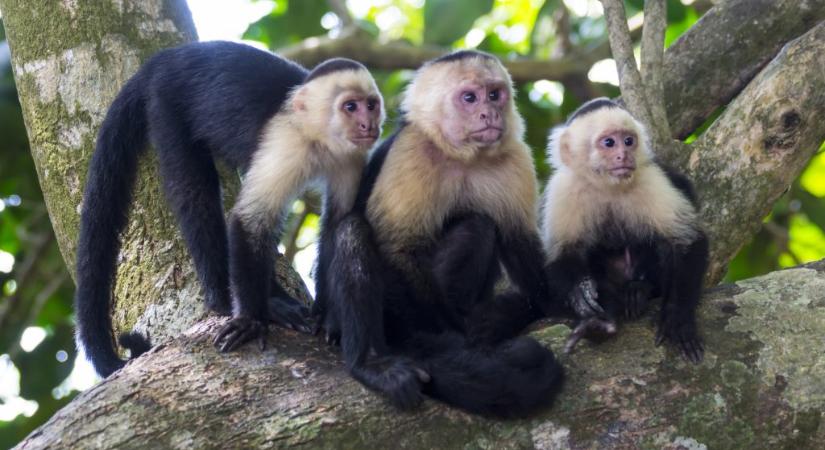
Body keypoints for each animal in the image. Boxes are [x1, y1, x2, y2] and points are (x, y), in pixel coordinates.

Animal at [75, 41, 384, 376]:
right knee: (196, 194)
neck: (317, 136)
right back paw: (233, 299)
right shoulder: (285, 144)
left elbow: (337, 224)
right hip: (165, 103)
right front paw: (251, 320)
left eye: (371, 105)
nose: (369, 124)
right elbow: (249, 221)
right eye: (350, 107)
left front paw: (332, 319)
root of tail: (166, 58)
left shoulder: (351, 157)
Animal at [312, 50, 564, 418]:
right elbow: (397, 248)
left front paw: (556, 302)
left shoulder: (514, 158)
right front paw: (443, 339)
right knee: (353, 232)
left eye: (494, 94)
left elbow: (518, 240)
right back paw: (371, 361)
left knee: (479, 226)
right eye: (469, 98)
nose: (489, 113)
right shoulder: (411, 152)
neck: (460, 155)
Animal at [540, 97, 708, 362]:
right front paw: (581, 292)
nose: (624, 155)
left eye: (629, 141)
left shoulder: (650, 177)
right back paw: (601, 320)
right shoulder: (563, 189)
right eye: (609, 143)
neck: (607, 186)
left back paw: (640, 289)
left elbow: (687, 242)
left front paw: (677, 317)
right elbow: (561, 254)